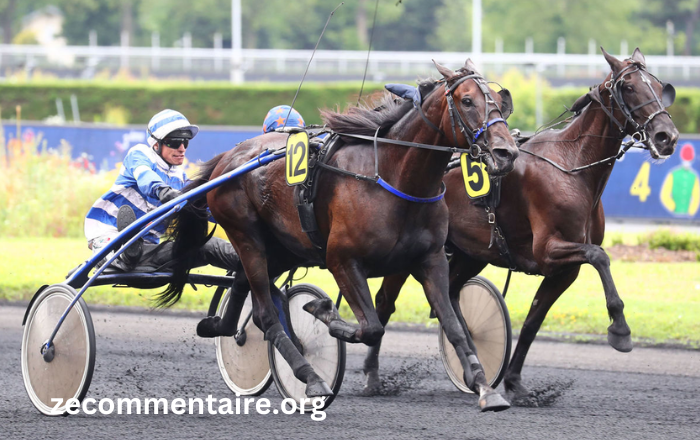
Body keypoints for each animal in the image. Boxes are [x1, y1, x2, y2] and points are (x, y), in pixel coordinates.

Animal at [159, 59, 520, 412]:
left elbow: (454, 326)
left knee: (242, 284)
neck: (394, 178)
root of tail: (228, 158)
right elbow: (371, 327)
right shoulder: (342, 259)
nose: (507, 153)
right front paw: (324, 312)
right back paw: (311, 378)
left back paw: (219, 326)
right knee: (265, 313)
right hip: (246, 235)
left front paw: (485, 387)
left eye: (499, 101)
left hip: (284, 247)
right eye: (467, 100)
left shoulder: (430, 260)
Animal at [366, 47, 680, 402]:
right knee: (386, 301)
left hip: (470, 252)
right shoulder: (548, 250)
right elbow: (600, 256)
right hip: (411, 251)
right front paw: (620, 330)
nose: (667, 137)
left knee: (451, 292)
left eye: (659, 86)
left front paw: (514, 382)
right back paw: (372, 376)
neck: (571, 167)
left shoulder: (564, 270)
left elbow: (533, 321)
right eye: (628, 87)